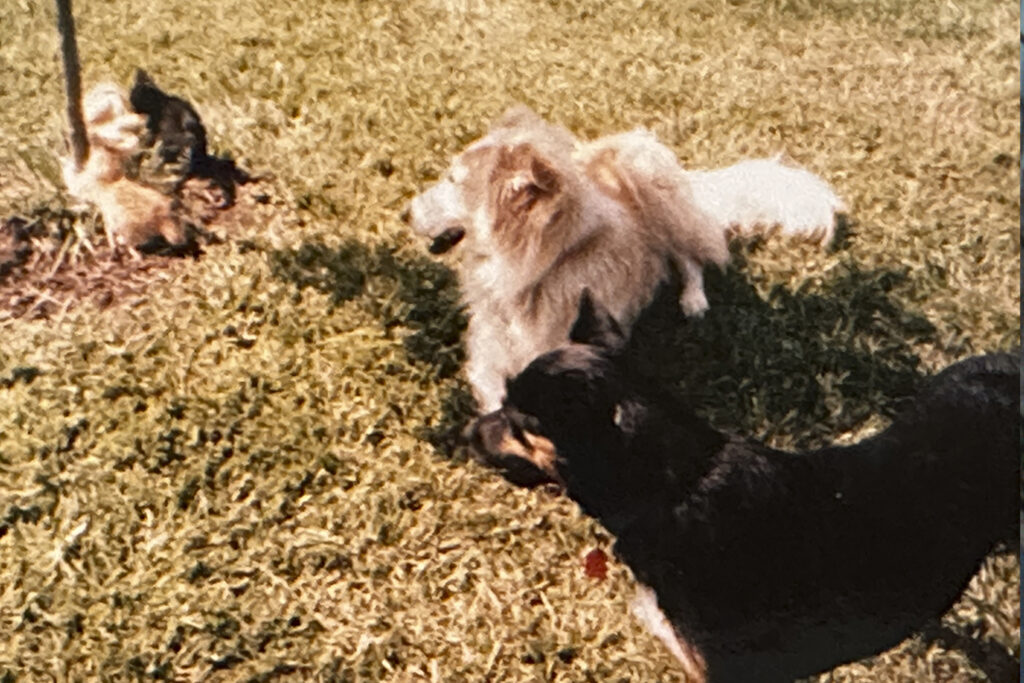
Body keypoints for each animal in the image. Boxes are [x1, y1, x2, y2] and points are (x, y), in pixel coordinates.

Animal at [129, 68, 250, 205]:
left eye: (134, 99)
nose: (132, 108)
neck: (163, 105)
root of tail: (202, 157)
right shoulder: (154, 126)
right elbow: (146, 143)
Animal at [403, 104, 843, 409]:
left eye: (452, 181)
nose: (404, 213)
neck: (542, 270)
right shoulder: (488, 349)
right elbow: (494, 390)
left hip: (654, 185)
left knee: (690, 257)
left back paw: (693, 300)